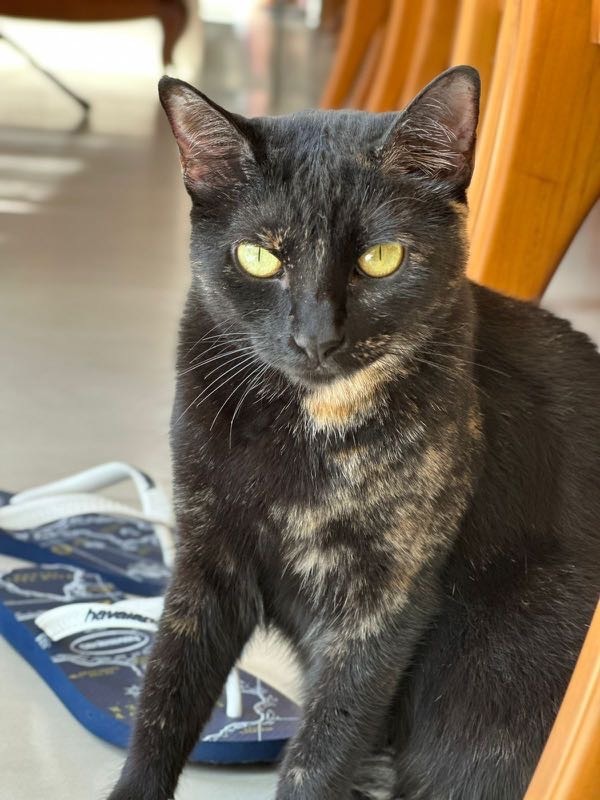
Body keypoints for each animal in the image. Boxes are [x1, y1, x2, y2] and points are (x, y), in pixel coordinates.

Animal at [108, 66, 600, 800]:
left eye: (381, 258)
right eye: (259, 258)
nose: (315, 336)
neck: (312, 432)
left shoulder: (383, 601)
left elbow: (324, 748)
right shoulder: (206, 559)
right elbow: (165, 697)